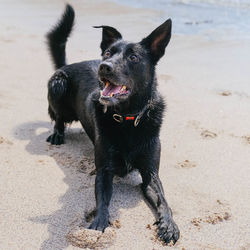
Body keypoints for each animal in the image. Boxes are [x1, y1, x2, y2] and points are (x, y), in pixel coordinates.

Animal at [46, 3, 180, 245]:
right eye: (108, 53)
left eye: (133, 57)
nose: (104, 66)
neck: (128, 118)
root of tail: (69, 65)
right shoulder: (104, 171)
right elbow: (102, 201)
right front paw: (99, 223)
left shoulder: (150, 174)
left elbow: (164, 201)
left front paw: (169, 224)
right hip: (57, 84)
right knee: (58, 117)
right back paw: (57, 134)